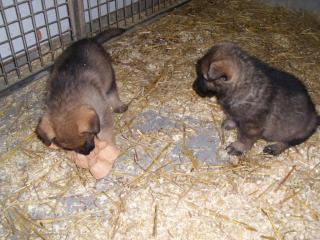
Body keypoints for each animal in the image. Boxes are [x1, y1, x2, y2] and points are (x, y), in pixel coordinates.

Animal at [36, 28, 127, 156]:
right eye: (68, 148)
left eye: (88, 137)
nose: (87, 153)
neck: (66, 102)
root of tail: (90, 39)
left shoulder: (103, 115)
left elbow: (105, 134)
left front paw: (110, 147)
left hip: (109, 76)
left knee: (112, 92)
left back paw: (119, 106)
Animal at [192, 41, 320, 156]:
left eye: (203, 76)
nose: (194, 87)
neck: (242, 85)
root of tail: (316, 117)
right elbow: (233, 117)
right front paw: (230, 123)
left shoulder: (252, 126)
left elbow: (245, 138)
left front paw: (239, 147)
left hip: (297, 133)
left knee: (288, 142)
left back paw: (275, 148)